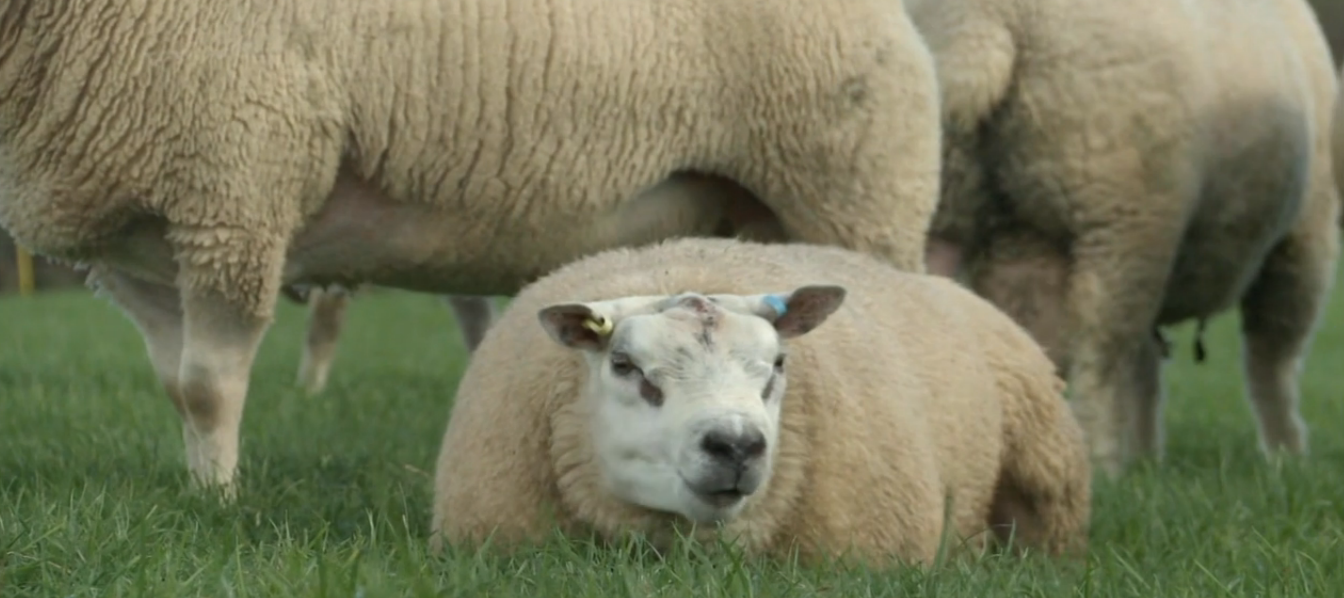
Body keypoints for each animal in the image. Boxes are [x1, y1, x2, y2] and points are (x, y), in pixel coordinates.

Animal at [0, 0, 946, 491]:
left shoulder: (236, 193)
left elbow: (207, 385)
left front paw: (225, 504)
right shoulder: (148, 248)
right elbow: (179, 387)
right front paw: (205, 494)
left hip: (854, 191)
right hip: (759, 215)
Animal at [908, 0, 1338, 478]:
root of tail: (979, 18)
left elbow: (1144, 372)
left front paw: (1147, 457)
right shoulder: (1306, 238)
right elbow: (1273, 360)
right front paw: (1287, 455)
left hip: (949, 204)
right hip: (1121, 215)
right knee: (1101, 349)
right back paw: (1102, 461)